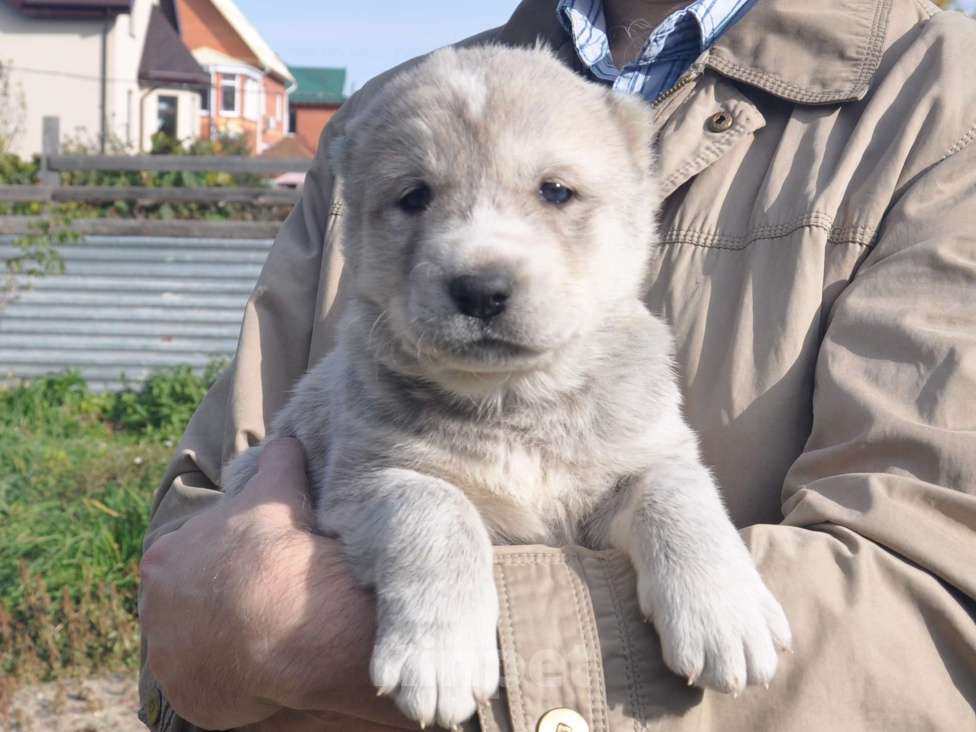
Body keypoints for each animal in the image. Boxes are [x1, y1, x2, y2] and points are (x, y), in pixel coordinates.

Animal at [227, 44, 792, 728]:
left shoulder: (641, 458)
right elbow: (436, 507)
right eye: (414, 196)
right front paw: (440, 657)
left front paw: (727, 614)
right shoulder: (361, 479)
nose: (480, 288)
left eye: (556, 190)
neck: (517, 403)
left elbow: (678, 492)